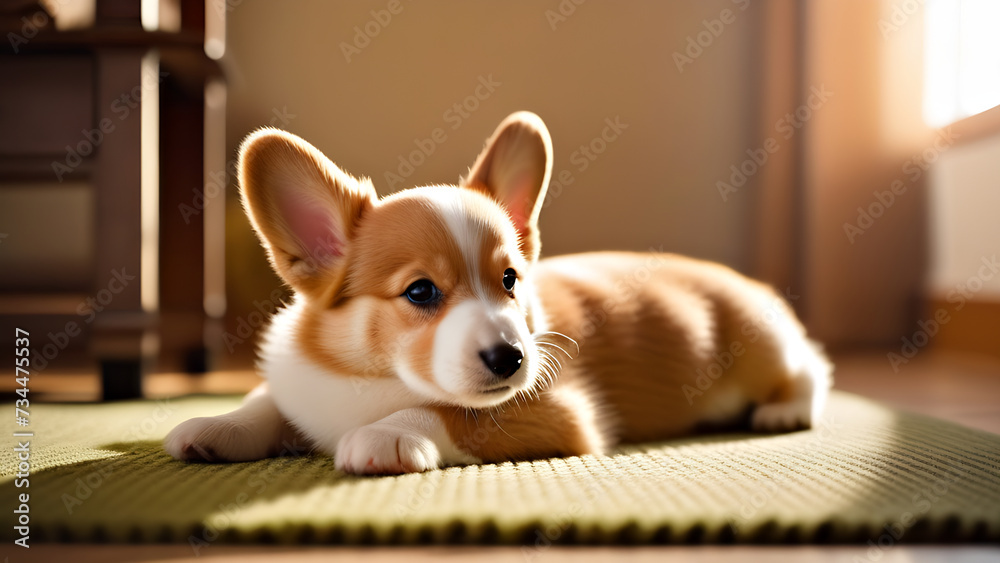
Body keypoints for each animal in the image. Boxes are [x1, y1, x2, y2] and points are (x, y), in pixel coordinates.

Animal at [164, 112, 832, 474]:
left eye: (509, 280)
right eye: (420, 291)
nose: (511, 358)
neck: (372, 379)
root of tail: (745, 281)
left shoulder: (560, 413)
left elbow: (448, 413)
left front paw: (387, 434)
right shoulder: (299, 385)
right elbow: (265, 403)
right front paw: (218, 424)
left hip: (767, 349)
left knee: (811, 367)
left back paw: (786, 410)